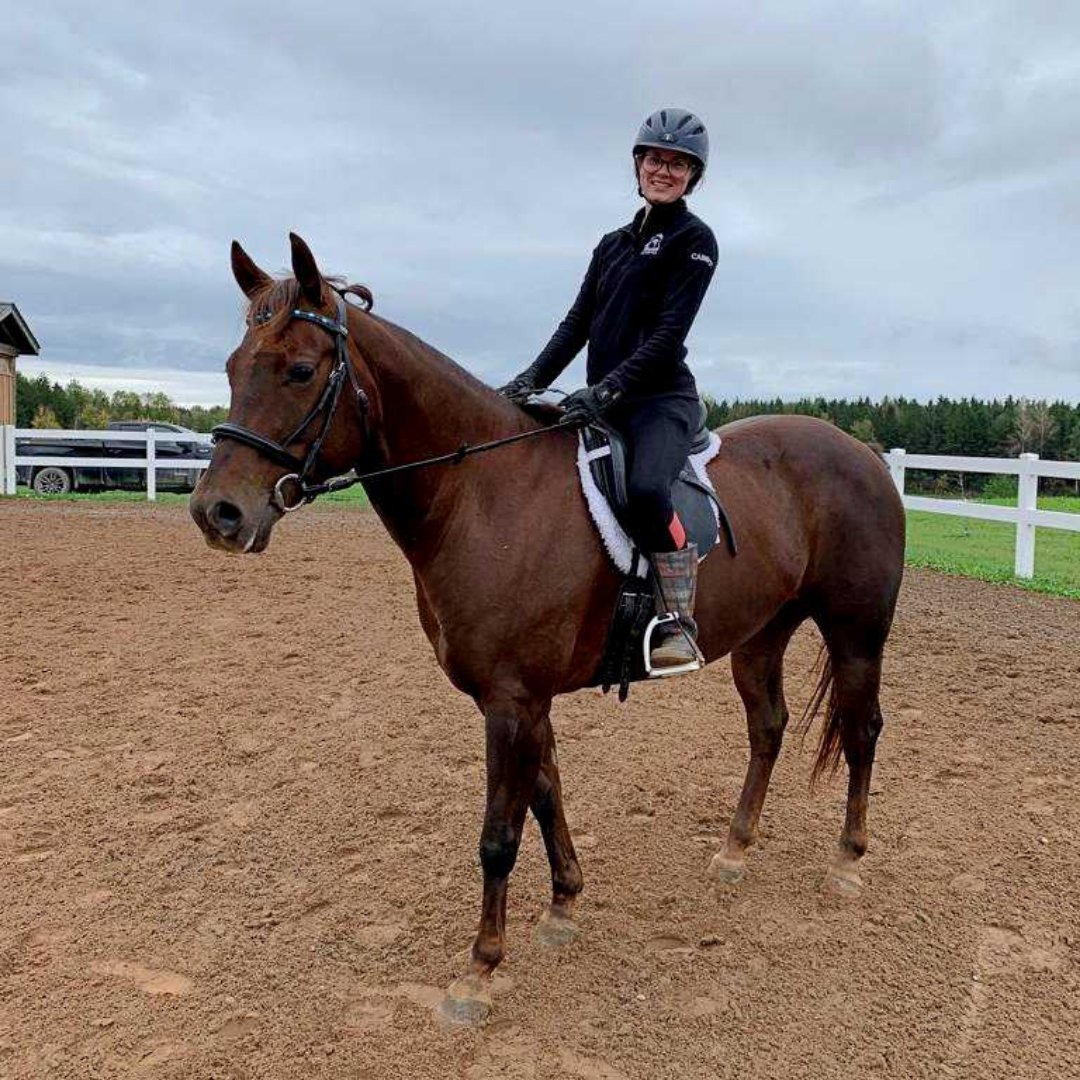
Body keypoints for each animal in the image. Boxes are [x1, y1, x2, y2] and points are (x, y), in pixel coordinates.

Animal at [190, 233, 906, 1024]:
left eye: (300, 369)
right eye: (232, 367)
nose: (218, 513)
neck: (481, 495)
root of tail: (864, 454)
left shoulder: (512, 701)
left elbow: (498, 836)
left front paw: (479, 970)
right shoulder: (521, 700)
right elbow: (546, 794)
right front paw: (564, 906)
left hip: (856, 632)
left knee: (863, 729)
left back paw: (846, 860)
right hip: (762, 635)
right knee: (768, 726)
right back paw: (736, 848)